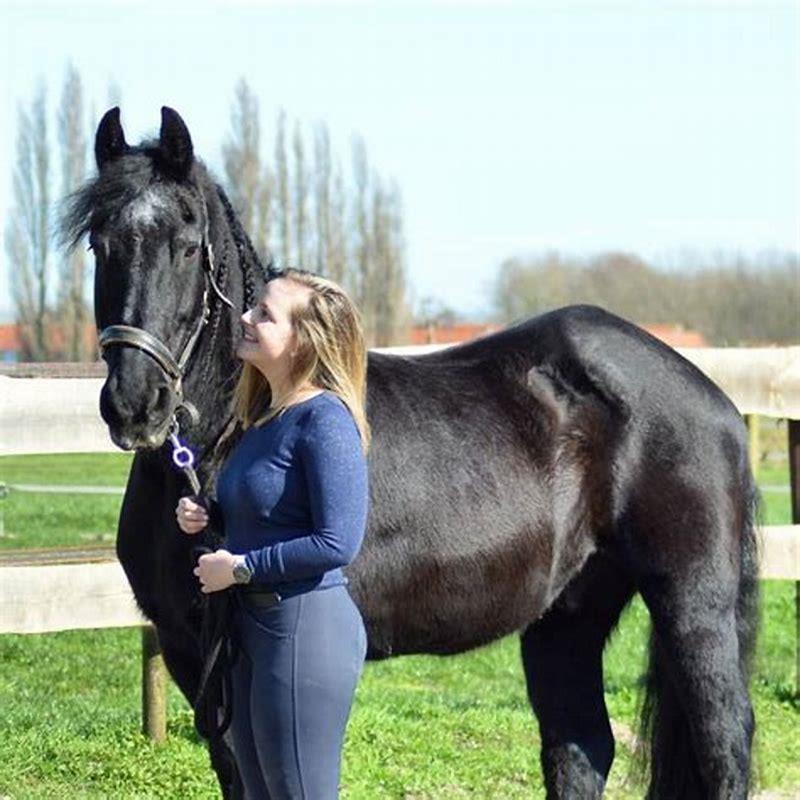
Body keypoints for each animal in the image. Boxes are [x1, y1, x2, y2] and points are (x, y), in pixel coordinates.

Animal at [61, 106, 759, 799]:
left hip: (694, 604)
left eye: (186, 244)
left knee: (724, 742)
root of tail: (710, 394)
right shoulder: (192, 656)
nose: (136, 403)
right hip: (568, 613)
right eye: (100, 242)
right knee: (580, 747)